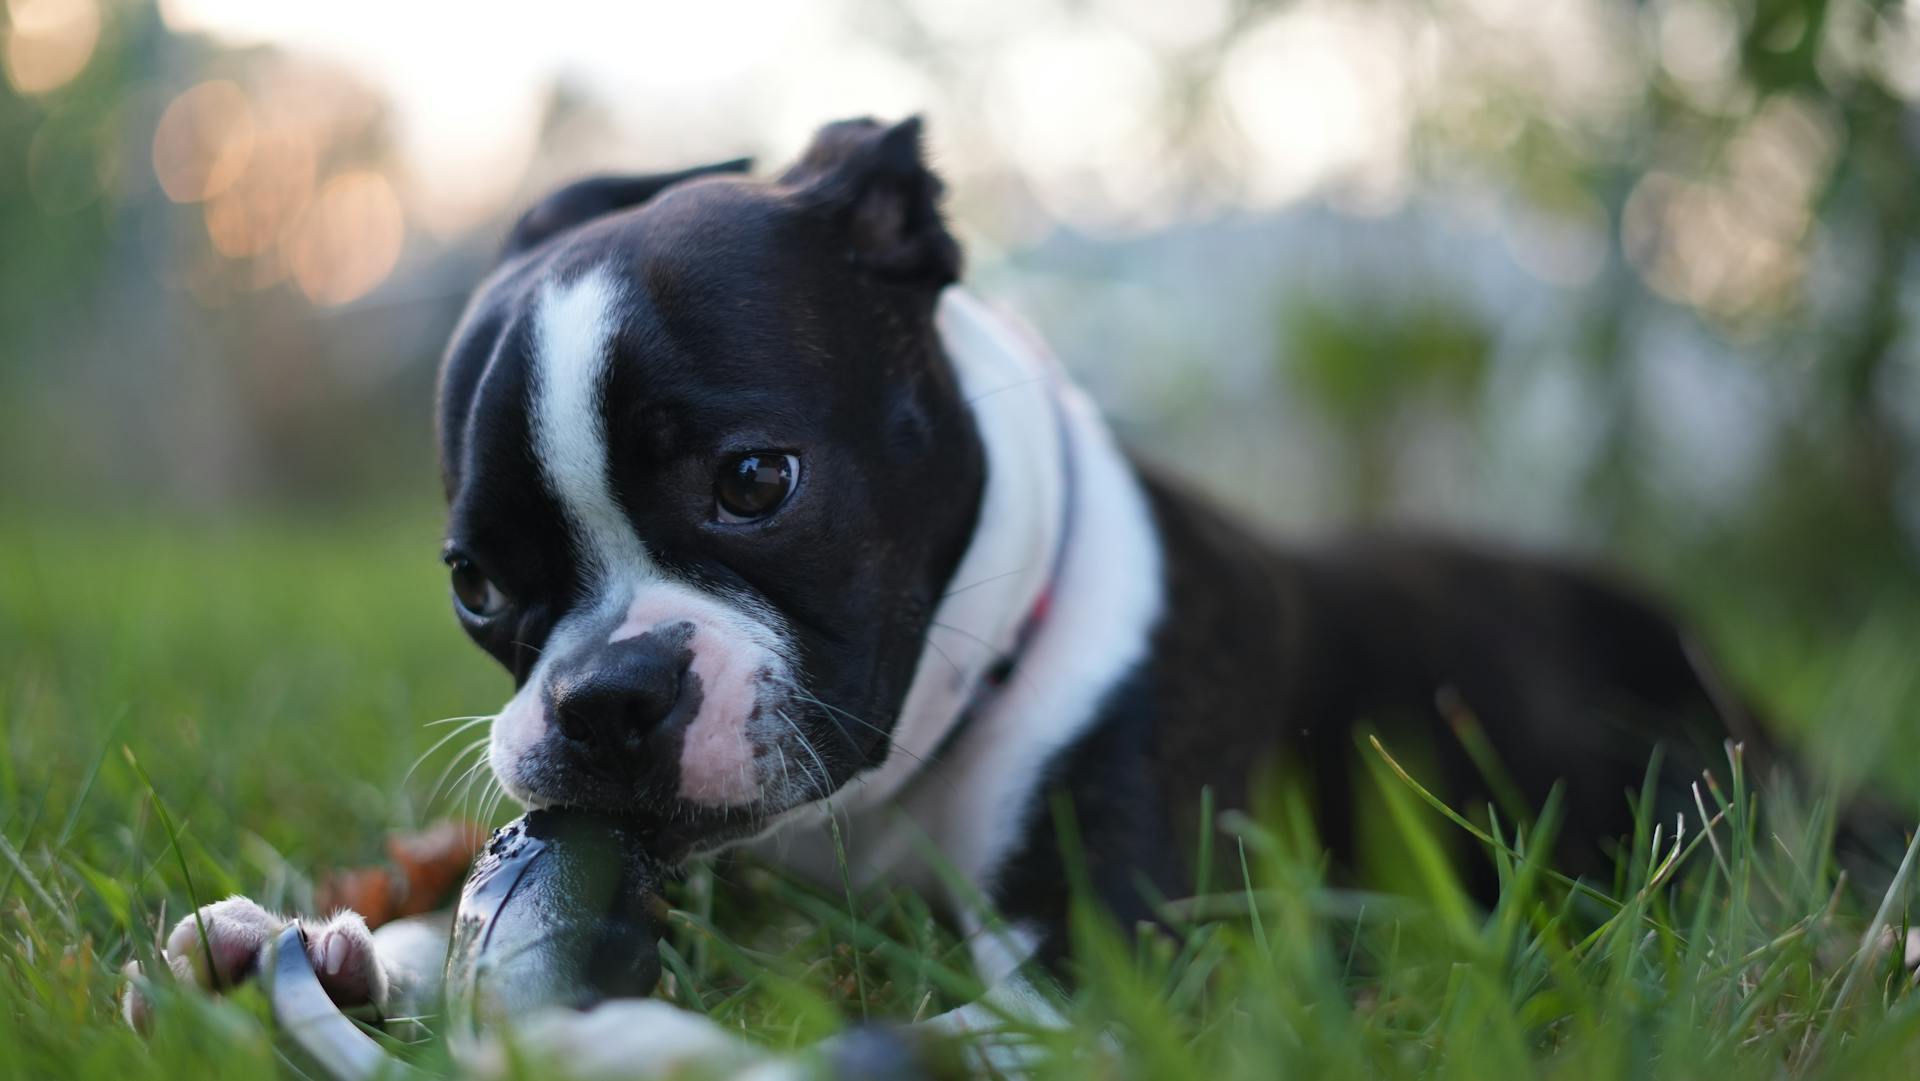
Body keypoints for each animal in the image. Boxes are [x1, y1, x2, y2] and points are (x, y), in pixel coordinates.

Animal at [123, 118, 1766, 1075]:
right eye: (477, 583)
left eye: (755, 482)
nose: (603, 697)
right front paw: (310, 950)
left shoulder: (1116, 979)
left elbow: (887, 1037)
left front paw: (628, 1043)